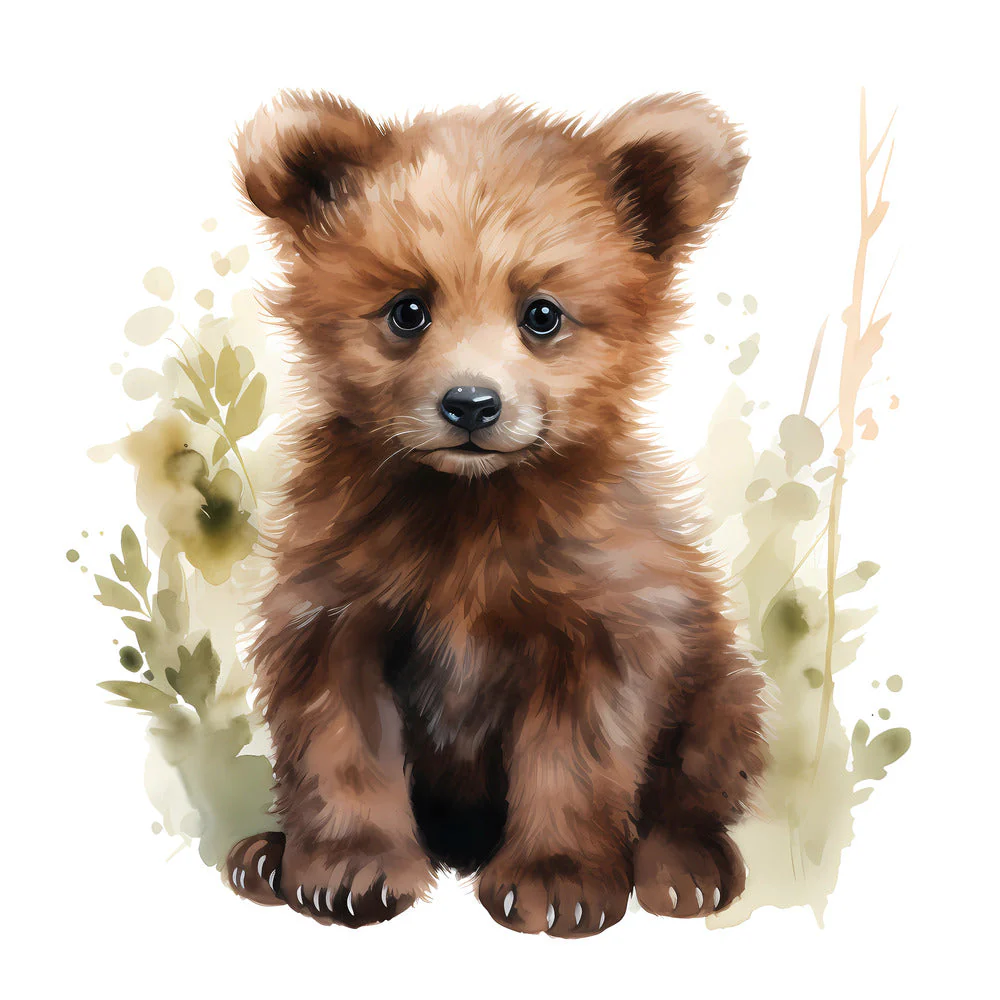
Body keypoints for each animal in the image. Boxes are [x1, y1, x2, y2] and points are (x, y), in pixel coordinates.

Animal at [224, 90, 769, 937]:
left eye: (542, 315)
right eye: (407, 310)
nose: (472, 404)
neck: (470, 505)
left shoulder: (602, 614)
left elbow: (575, 753)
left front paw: (558, 878)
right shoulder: (336, 604)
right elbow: (341, 742)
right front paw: (349, 867)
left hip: (719, 681)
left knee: (700, 772)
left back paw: (685, 867)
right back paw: (265, 856)